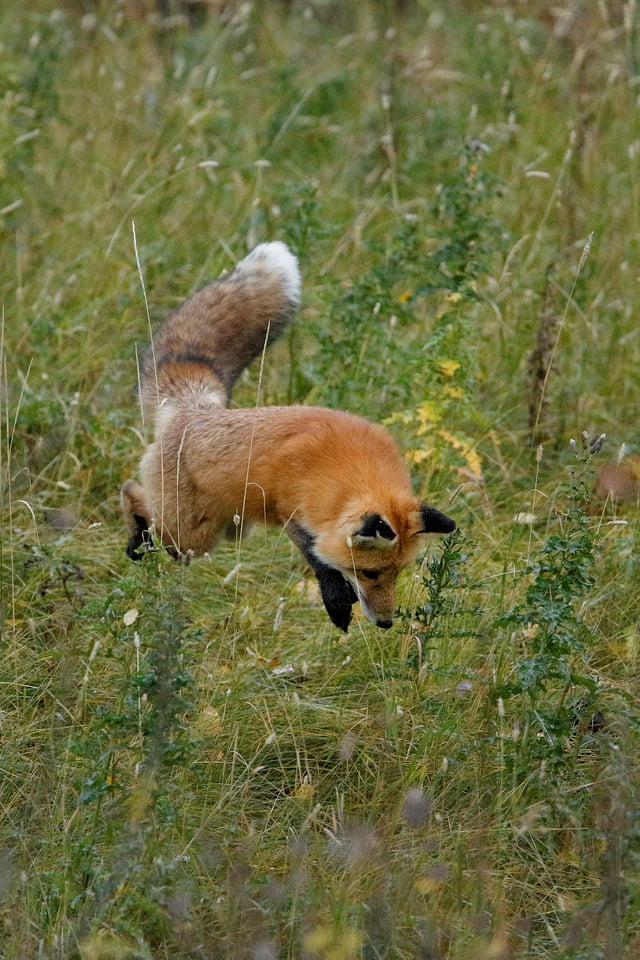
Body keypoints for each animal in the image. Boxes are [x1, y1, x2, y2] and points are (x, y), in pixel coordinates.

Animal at [121, 240, 456, 632]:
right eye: (369, 573)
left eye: (398, 573)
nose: (386, 623)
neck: (351, 470)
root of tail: (193, 408)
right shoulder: (288, 507)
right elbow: (317, 555)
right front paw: (336, 600)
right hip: (189, 535)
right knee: (133, 492)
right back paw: (136, 536)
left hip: (223, 531)